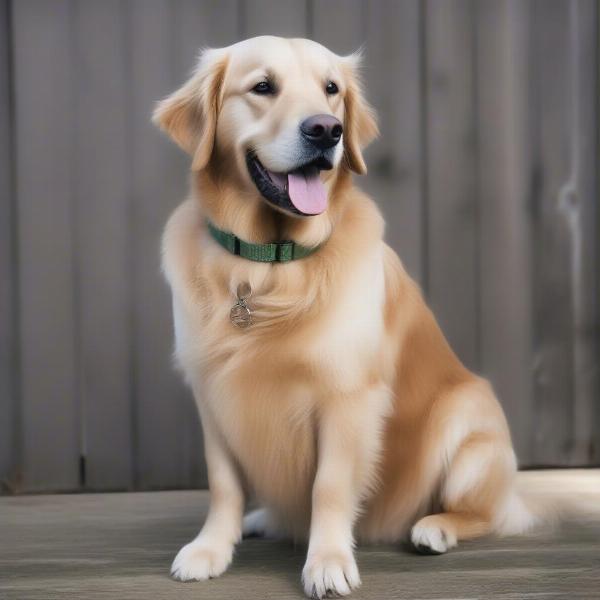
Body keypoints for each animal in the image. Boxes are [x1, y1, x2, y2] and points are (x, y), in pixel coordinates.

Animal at [152, 36, 532, 596]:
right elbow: (223, 484)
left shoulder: (347, 396)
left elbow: (328, 486)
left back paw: (435, 528)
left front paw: (327, 562)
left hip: (466, 423)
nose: (325, 130)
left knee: (488, 515)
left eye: (331, 89)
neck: (268, 267)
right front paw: (210, 549)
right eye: (262, 86)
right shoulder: (211, 392)